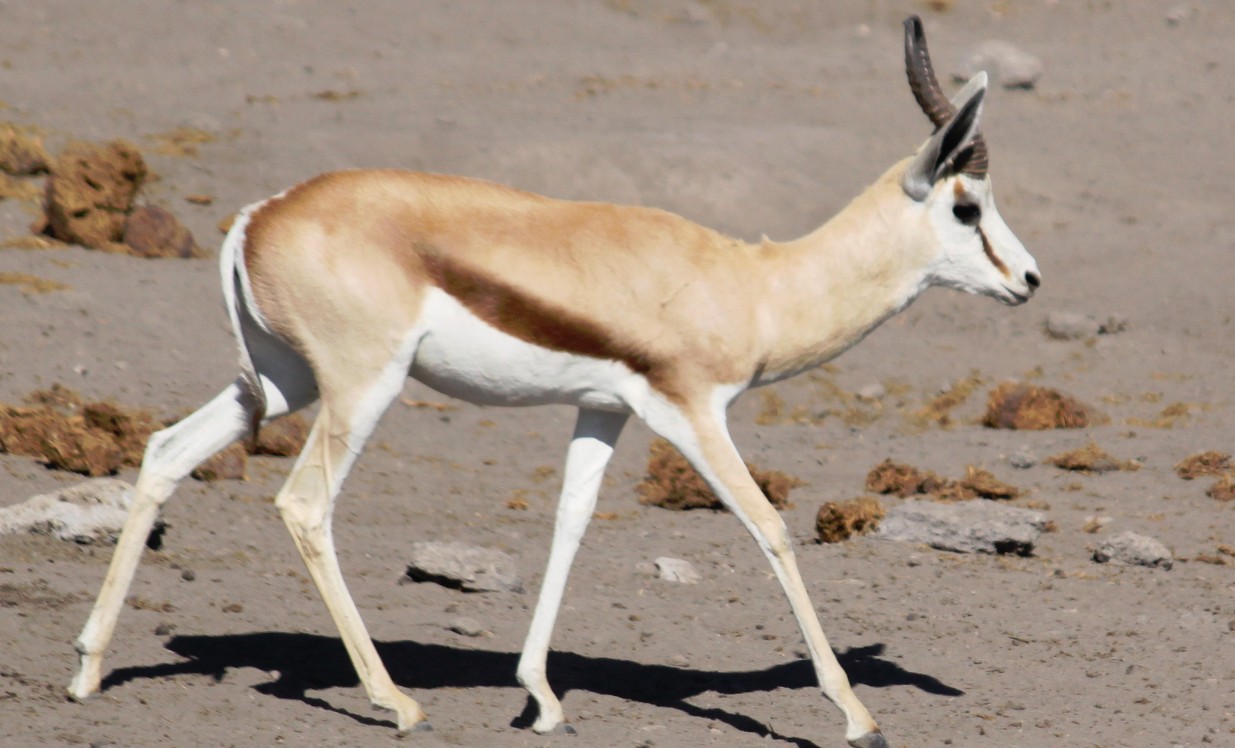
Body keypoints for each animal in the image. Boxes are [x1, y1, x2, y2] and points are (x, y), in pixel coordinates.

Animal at [65, 17, 1032, 748]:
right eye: (965, 207)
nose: (1027, 280)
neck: (753, 286)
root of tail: (259, 214)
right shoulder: (694, 413)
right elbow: (768, 528)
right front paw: (857, 716)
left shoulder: (603, 411)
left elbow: (570, 525)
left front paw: (540, 697)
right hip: (358, 390)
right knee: (304, 505)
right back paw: (396, 703)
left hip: (279, 383)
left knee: (163, 452)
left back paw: (87, 671)